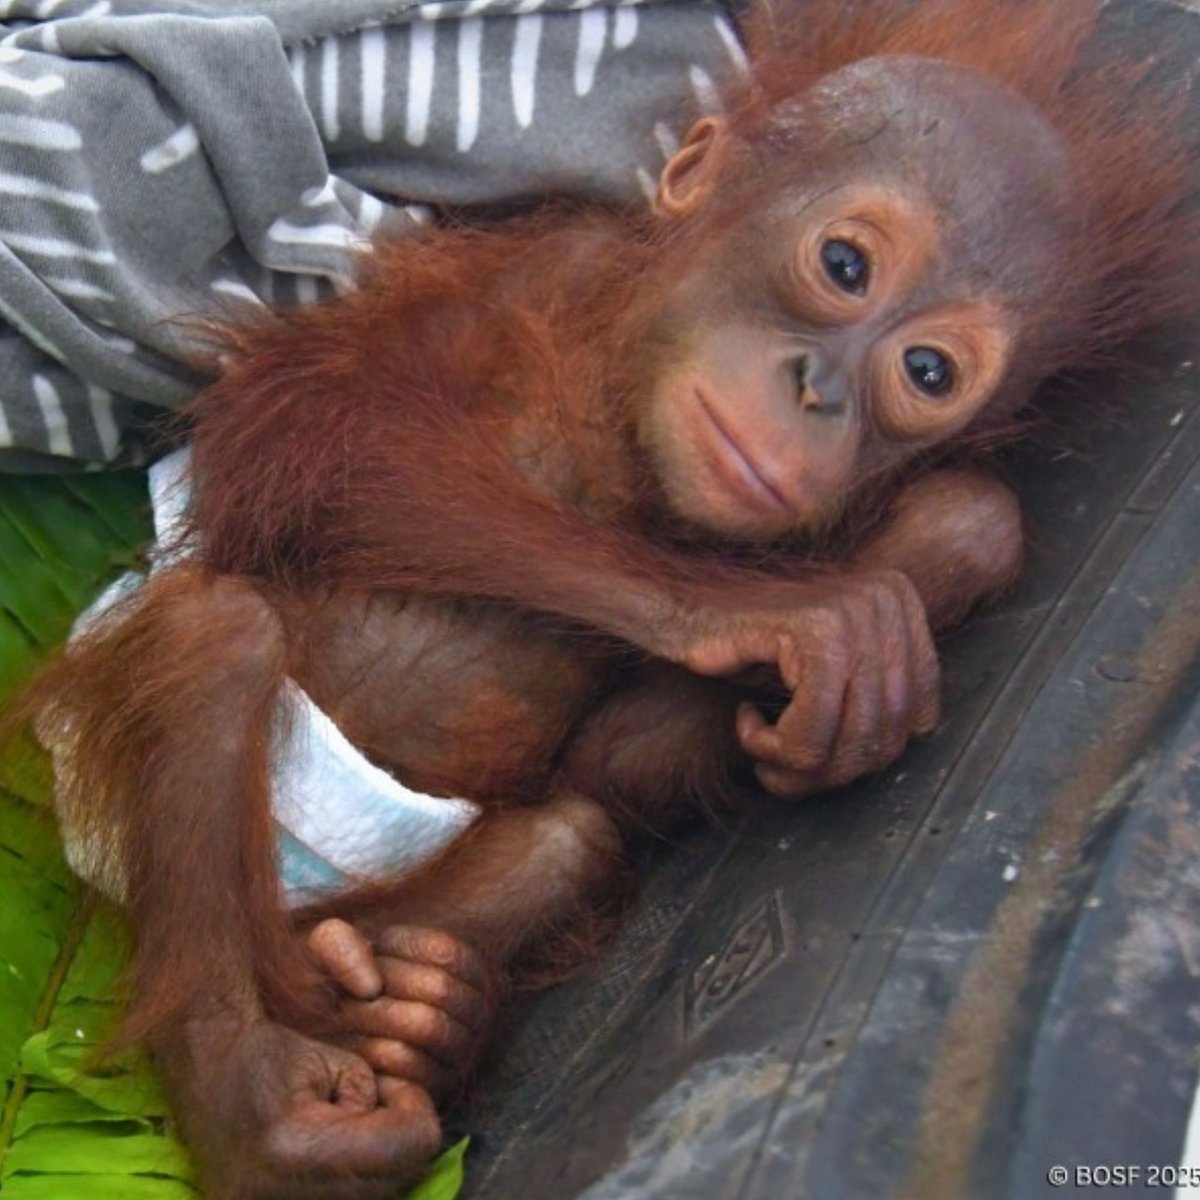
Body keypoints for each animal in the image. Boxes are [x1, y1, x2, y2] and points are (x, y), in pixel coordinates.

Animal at [15, 1, 1197, 1196]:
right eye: (845, 263)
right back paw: (260, 1109)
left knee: (563, 839)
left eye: (927, 374)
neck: (625, 416)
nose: (817, 391)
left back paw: (415, 1010)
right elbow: (320, 447)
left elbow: (615, 761)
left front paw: (936, 561)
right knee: (217, 633)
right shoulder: (536, 271)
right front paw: (767, 616)